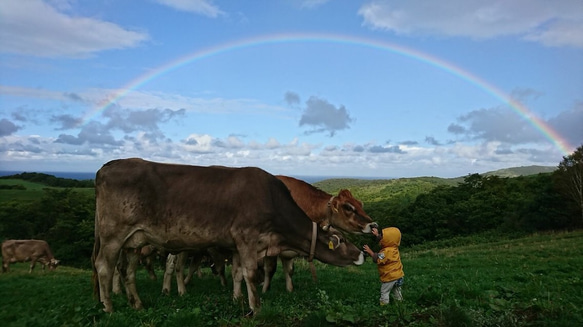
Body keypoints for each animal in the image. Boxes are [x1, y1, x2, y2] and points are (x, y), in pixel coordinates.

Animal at [91, 160, 364, 314]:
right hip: (113, 233)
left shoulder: (236, 245)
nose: (361, 254)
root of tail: (109, 165)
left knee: (126, 270)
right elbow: (251, 274)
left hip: (134, 240)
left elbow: (237, 273)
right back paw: (109, 308)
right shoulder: (247, 238)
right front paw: (255, 308)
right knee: (104, 266)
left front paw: (237, 299)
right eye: (341, 241)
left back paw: (136, 304)